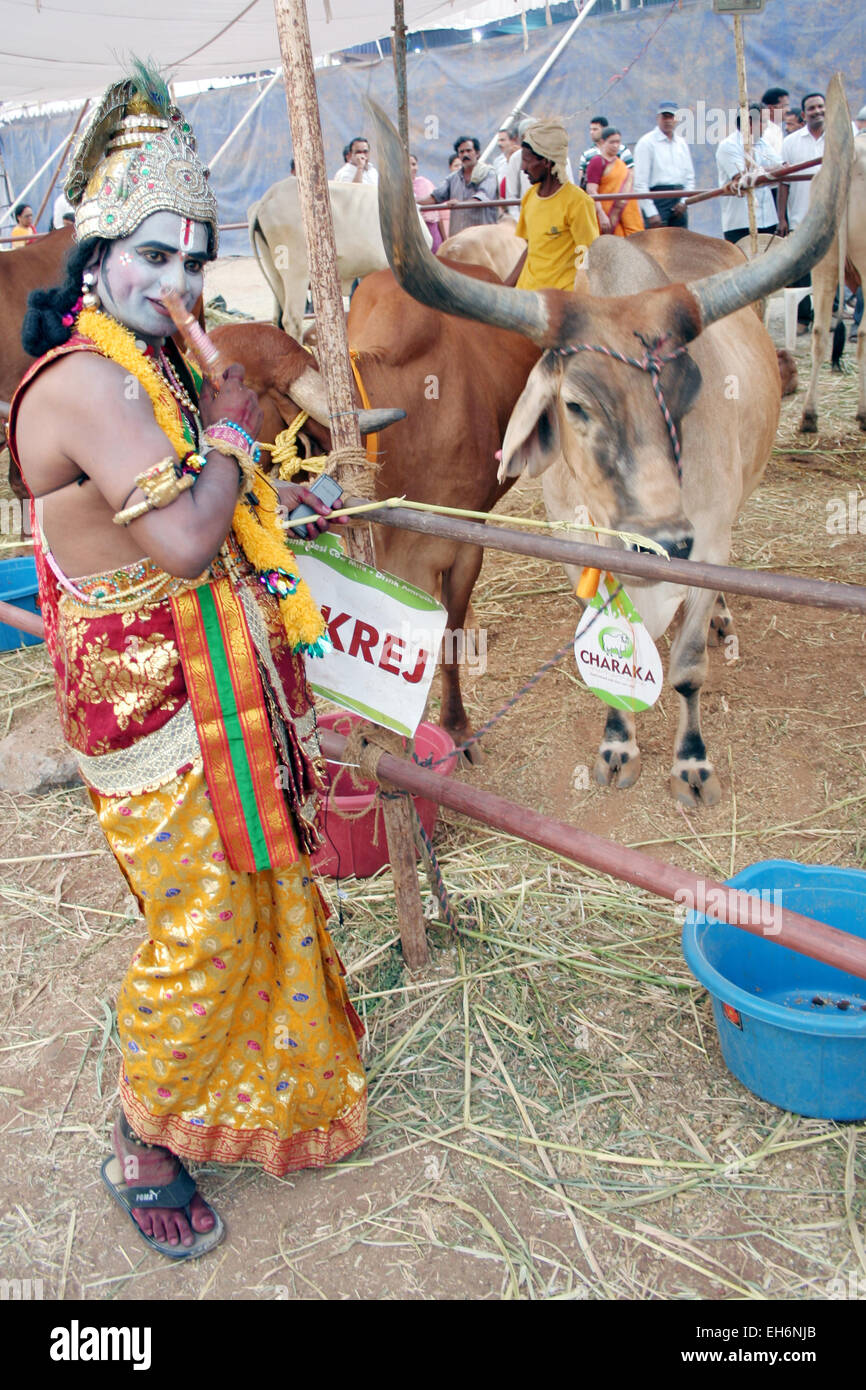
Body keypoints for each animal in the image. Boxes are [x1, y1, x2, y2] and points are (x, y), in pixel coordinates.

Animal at [366, 78, 856, 806]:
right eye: (575, 404)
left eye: (687, 388)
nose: (663, 541)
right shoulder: (576, 548)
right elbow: (609, 661)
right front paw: (618, 747)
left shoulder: (709, 543)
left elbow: (686, 667)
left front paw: (691, 763)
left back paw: (723, 621)